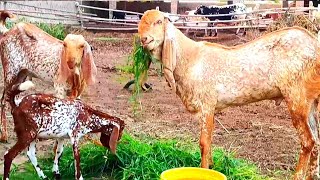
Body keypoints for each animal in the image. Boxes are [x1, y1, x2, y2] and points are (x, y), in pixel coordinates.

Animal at [0, 10, 97, 142]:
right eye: (64, 45)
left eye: (81, 46)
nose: (70, 62)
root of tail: (7, 32)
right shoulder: (59, 89)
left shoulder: (78, 94)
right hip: (10, 72)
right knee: (3, 100)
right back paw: (4, 135)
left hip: (22, 75)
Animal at [139, 9, 320, 179]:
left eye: (159, 21)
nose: (144, 39)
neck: (190, 58)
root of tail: (314, 45)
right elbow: (210, 140)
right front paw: (211, 166)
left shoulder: (206, 104)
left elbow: (204, 143)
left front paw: (204, 170)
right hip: (310, 103)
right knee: (317, 141)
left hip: (297, 99)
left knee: (308, 142)